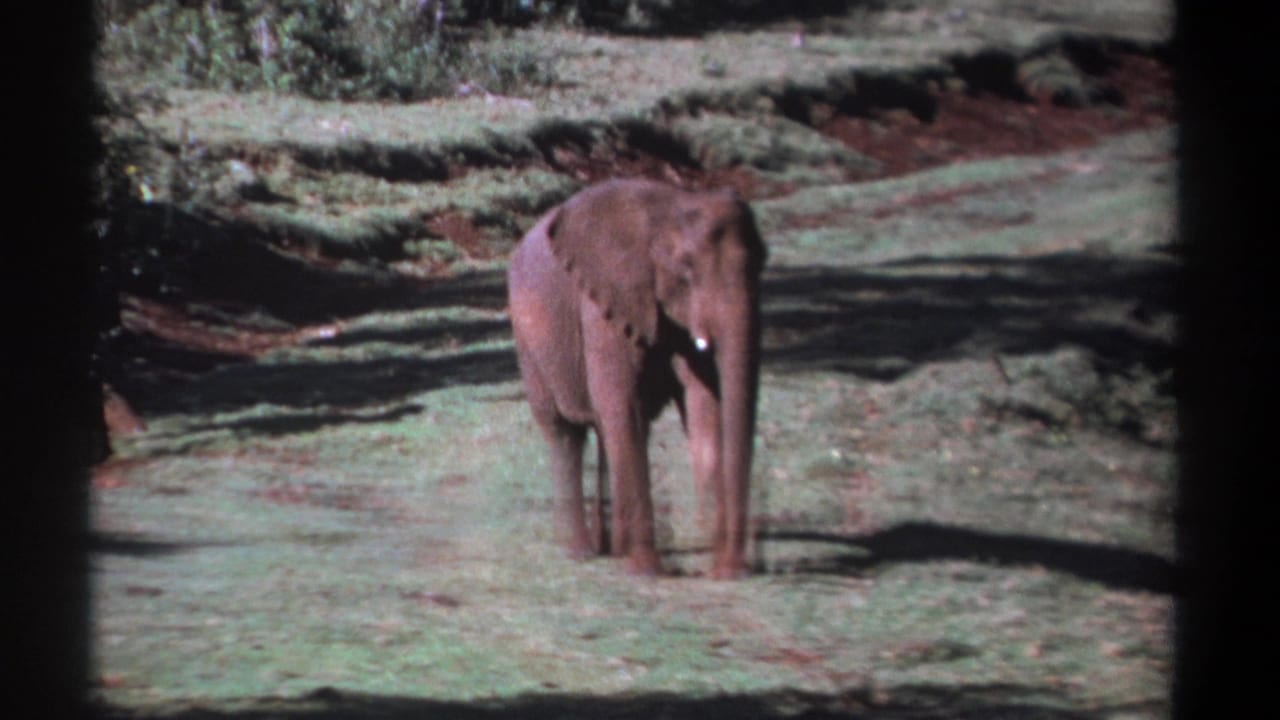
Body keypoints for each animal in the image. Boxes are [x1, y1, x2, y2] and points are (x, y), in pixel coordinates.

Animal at [507, 178, 766, 579]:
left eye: (763, 262)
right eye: (686, 268)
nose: (730, 569)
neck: (670, 208)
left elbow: (704, 403)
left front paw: (710, 552)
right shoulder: (602, 302)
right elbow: (621, 406)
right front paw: (647, 571)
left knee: (611, 431)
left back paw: (613, 549)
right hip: (529, 345)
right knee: (565, 434)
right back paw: (580, 553)